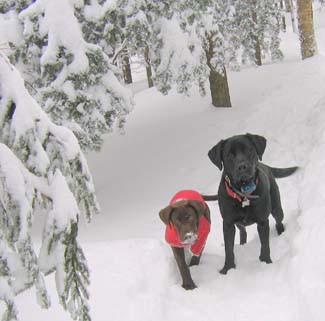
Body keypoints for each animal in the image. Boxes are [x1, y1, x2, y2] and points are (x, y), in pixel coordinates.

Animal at [208, 132, 296, 272]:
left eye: (249, 150)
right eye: (229, 155)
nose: (242, 166)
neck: (244, 194)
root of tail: (265, 165)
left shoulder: (262, 221)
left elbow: (265, 245)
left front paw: (266, 262)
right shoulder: (228, 223)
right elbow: (228, 249)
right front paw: (228, 269)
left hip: (276, 208)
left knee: (279, 220)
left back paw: (281, 233)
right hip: (238, 223)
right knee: (242, 231)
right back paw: (242, 244)